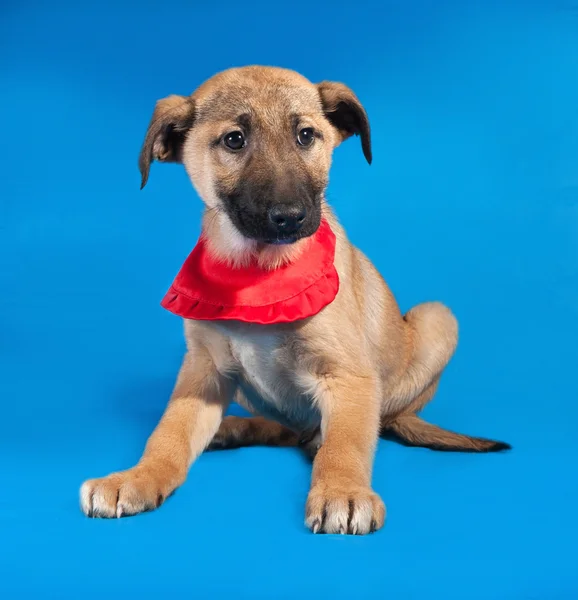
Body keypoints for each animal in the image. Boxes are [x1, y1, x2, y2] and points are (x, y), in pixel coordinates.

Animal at [79, 65, 506, 536]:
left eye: (306, 135)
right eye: (234, 140)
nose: (290, 217)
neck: (258, 272)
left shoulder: (348, 376)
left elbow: (347, 443)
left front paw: (342, 490)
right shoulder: (202, 371)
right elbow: (167, 435)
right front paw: (137, 477)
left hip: (436, 318)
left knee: (378, 421)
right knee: (284, 429)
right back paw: (237, 428)